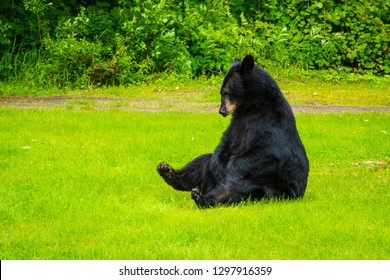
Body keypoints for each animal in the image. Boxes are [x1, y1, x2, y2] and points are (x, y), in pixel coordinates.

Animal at [157, 55, 310, 208]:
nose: (221, 111)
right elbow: (226, 142)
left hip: (273, 186)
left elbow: (267, 151)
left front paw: (230, 171)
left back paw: (202, 198)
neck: (252, 106)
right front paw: (218, 167)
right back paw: (169, 173)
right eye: (221, 92)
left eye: (226, 92)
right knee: (203, 162)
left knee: (240, 188)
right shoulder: (238, 121)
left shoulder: (271, 121)